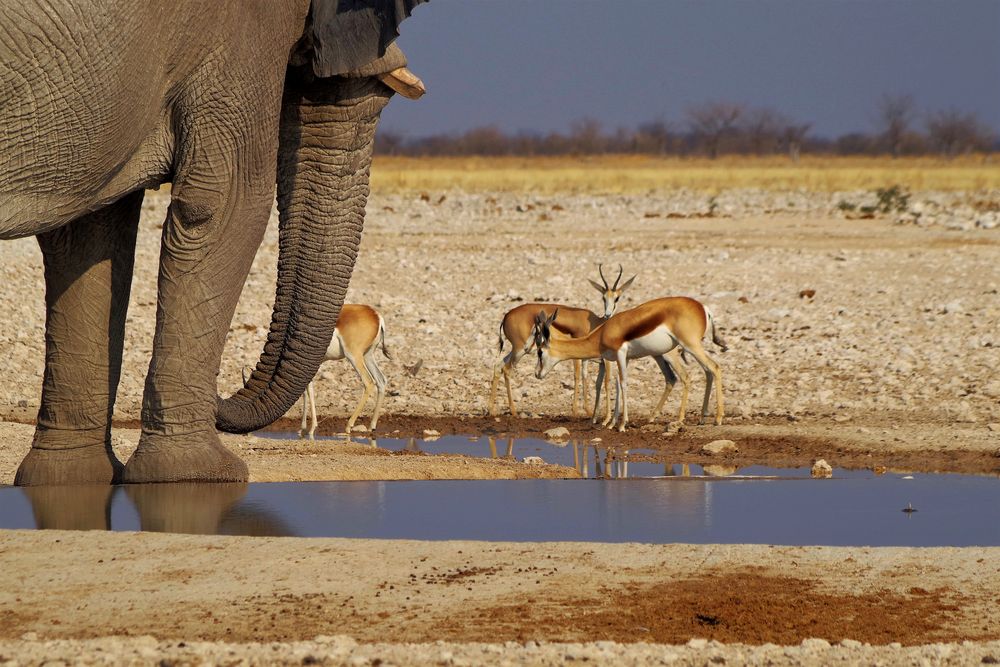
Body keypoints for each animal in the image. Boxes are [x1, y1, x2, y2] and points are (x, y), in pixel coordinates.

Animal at [296, 304, 390, 438]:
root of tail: (376, 315)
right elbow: (306, 390)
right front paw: (303, 428)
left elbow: (309, 390)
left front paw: (311, 429)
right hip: (368, 355)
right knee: (381, 380)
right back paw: (371, 426)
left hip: (353, 355)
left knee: (368, 382)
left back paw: (348, 426)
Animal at [490, 264, 636, 418]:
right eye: (603, 298)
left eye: (617, 298)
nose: (608, 314)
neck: (595, 323)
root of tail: (507, 315)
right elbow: (580, 376)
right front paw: (576, 411)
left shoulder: (588, 358)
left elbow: (586, 377)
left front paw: (588, 411)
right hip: (520, 349)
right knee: (506, 370)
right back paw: (513, 411)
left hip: (517, 350)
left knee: (498, 366)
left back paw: (491, 410)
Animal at [532, 298, 728, 434]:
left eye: (540, 352)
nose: (536, 373)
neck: (602, 333)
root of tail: (703, 308)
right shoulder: (623, 358)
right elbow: (618, 386)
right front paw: (612, 423)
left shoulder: (620, 353)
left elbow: (623, 384)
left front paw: (622, 425)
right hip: (686, 349)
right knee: (706, 371)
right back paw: (702, 417)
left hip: (688, 345)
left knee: (714, 368)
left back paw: (716, 419)